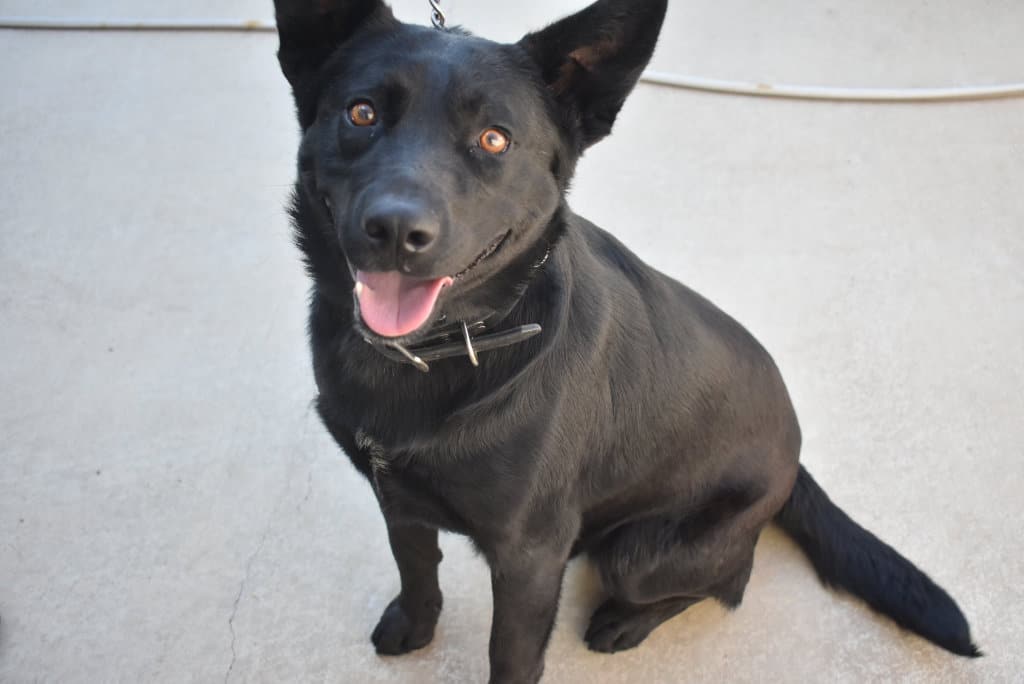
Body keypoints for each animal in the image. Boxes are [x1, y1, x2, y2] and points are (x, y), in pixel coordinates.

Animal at [272, 2, 974, 679]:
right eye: (362, 112)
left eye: (494, 139)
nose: (395, 230)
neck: (445, 348)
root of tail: (794, 459)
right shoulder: (398, 499)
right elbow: (416, 568)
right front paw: (415, 627)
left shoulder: (530, 555)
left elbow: (512, 655)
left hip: (639, 553)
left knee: (729, 582)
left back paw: (627, 622)